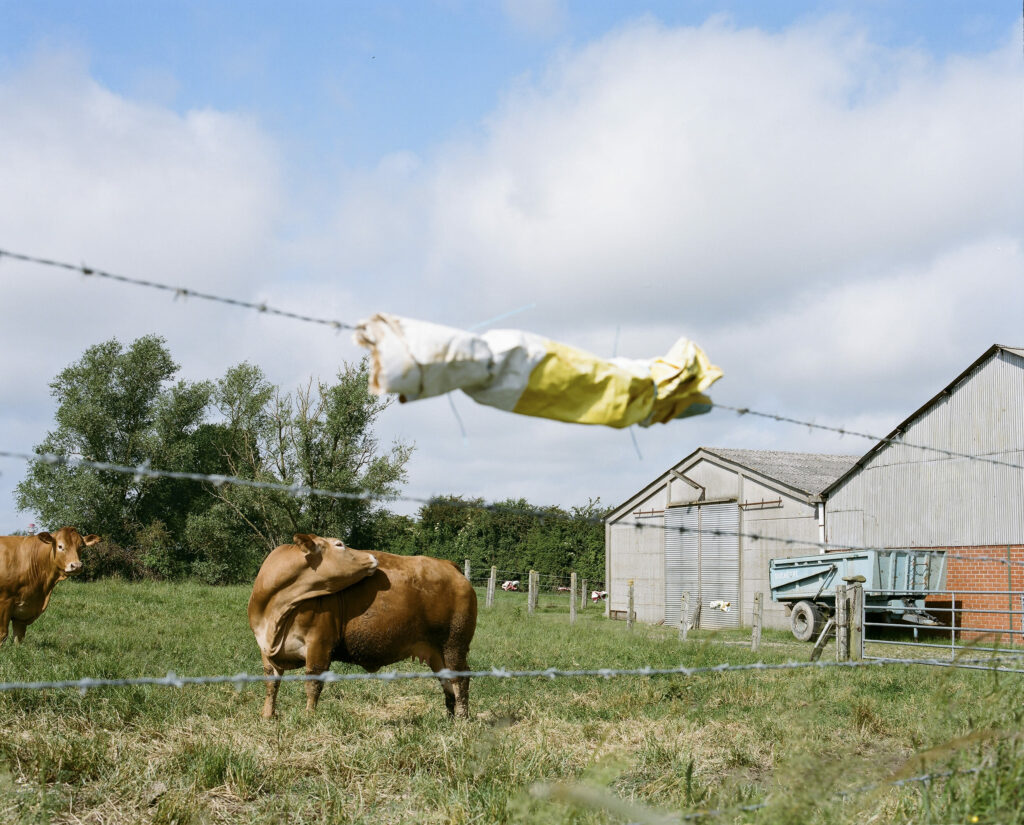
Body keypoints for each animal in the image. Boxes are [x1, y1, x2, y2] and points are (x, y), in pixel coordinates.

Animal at [249, 534, 478, 719]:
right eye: (339, 544)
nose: (372, 557)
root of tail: (448, 565)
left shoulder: (319, 644)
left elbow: (313, 684)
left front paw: (308, 717)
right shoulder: (264, 650)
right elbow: (271, 683)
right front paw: (267, 715)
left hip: (454, 643)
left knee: (461, 678)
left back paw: (461, 718)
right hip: (437, 650)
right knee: (447, 681)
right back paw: (449, 717)